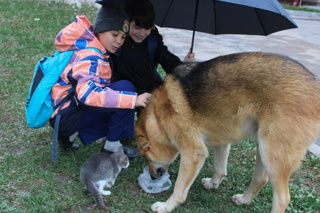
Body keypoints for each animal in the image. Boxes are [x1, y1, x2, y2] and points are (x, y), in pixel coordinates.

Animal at [135, 52, 320, 213]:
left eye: (147, 156)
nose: (152, 177)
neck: (157, 118)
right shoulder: (221, 142)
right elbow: (220, 167)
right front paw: (213, 184)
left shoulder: (193, 152)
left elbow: (179, 190)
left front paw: (165, 207)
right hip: (263, 147)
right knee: (261, 178)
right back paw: (244, 200)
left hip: (273, 154)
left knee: (282, 199)